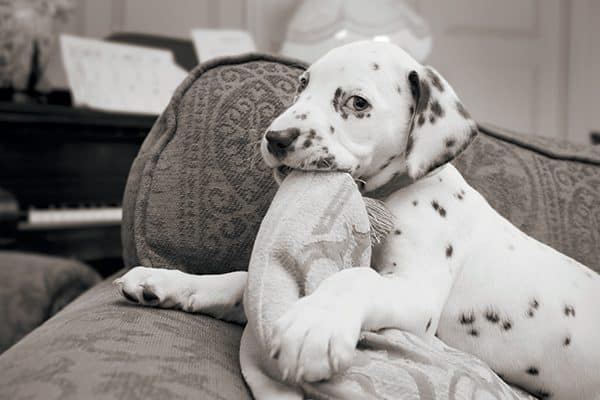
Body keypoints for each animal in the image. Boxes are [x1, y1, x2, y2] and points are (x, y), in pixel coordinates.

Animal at [116, 41, 600, 400]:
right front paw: (170, 282)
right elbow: (239, 280)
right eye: (302, 86)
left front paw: (314, 324)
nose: (275, 137)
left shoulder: (417, 296)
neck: (398, 191)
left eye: (356, 102)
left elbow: (355, 279)